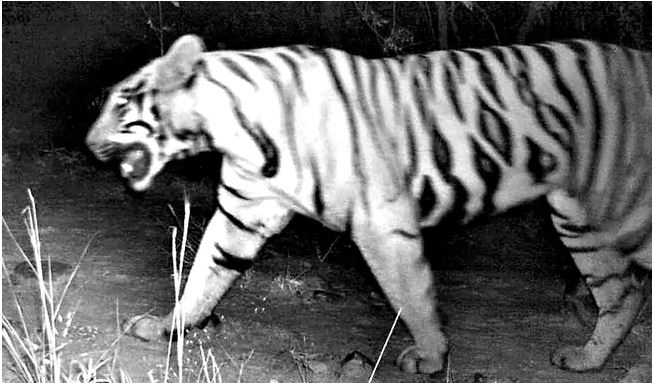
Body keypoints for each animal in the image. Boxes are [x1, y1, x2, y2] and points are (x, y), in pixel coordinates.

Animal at [86, 36, 652, 376]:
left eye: (121, 102)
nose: (89, 144)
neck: (233, 128)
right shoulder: (244, 213)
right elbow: (205, 273)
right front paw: (167, 328)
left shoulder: (382, 222)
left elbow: (411, 294)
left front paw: (431, 357)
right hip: (578, 219)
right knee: (623, 292)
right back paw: (586, 359)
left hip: (622, 210)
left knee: (626, 286)